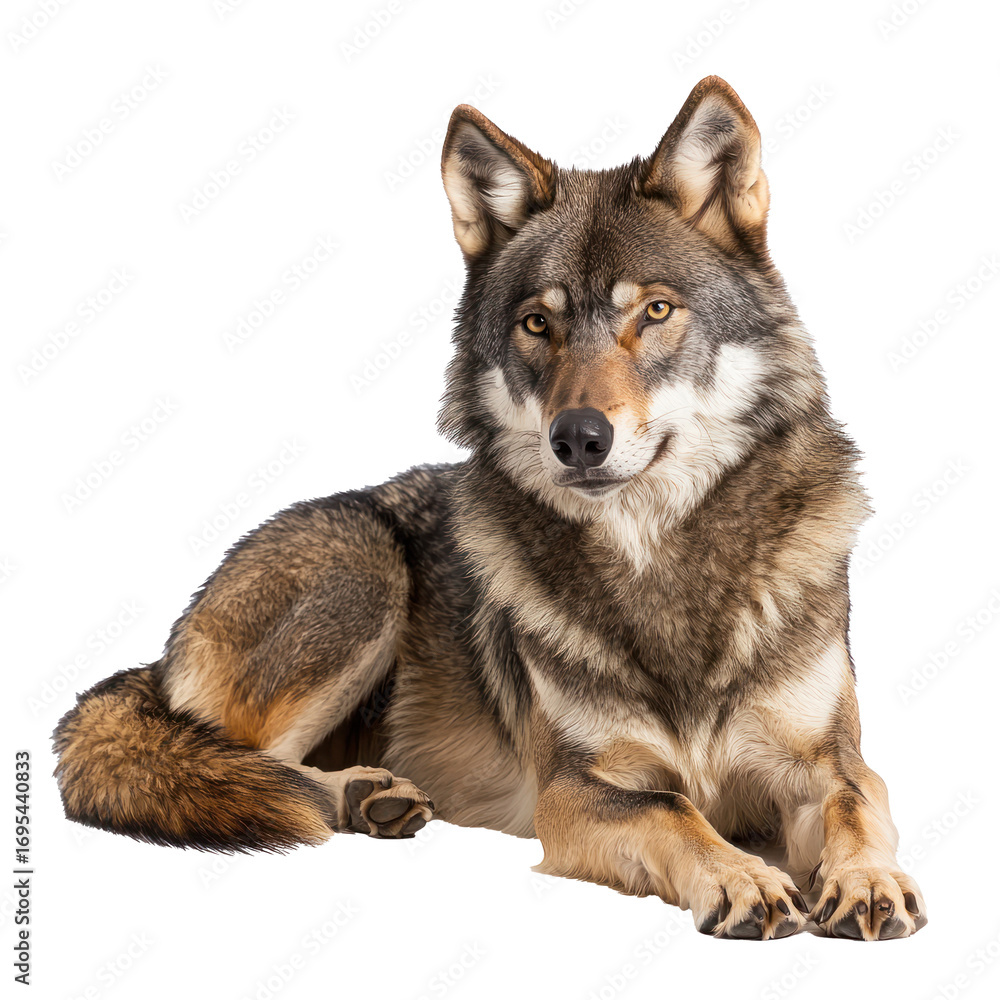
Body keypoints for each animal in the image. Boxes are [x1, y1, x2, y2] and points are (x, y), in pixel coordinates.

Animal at [54, 76, 926, 941]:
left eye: (655, 312)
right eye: (537, 323)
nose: (578, 439)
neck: (661, 569)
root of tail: (159, 658)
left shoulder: (830, 760)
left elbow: (855, 804)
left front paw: (868, 880)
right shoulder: (574, 789)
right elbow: (673, 809)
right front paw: (742, 877)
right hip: (364, 571)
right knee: (230, 761)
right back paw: (359, 794)